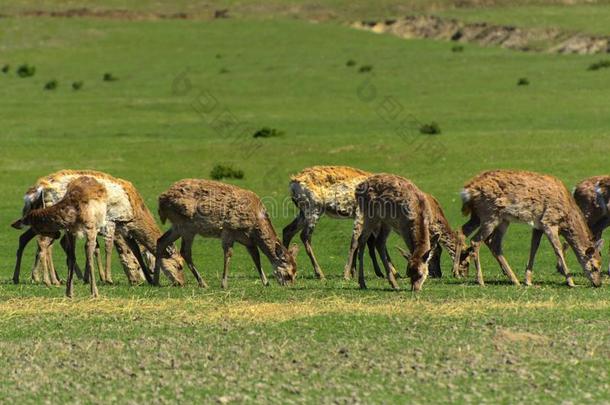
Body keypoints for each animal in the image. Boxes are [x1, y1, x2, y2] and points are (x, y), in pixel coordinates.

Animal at [11, 169, 183, 286]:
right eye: (180, 265)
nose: (181, 283)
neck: (134, 212)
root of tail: (34, 191)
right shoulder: (112, 221)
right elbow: (108, 247)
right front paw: (108, 279)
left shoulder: (124, 228)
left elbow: (134, 251)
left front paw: (148, 280)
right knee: (44, 243)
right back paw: (49, 280)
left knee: (29, 239)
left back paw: (24, 277)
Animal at [154, 179, 296, 288]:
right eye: (288, 275)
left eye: (296, 273)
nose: (289, 286)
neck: (255, 227)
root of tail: (161, 201)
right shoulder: (229, 230)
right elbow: (228, 254)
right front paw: (224, 284)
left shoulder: (248, 239)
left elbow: (256, 256)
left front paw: (266, 282)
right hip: (186, 225)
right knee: (185, 251)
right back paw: (203, 283)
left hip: (177, 226)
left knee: (161, 241)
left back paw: (155, 280)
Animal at [458, 169, 600, 286]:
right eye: (595, 267)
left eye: (601, 264)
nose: (598, 283)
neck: (566, 217)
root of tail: (467, 191)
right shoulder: (549, 221)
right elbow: (558, 249)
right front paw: (571, 282)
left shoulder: (538, 226)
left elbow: (534, 248)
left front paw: (528, 280)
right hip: (490, 214)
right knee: (476, 241)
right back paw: (480, 280)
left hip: (489, 217)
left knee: (484, 239)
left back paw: (514, 280)